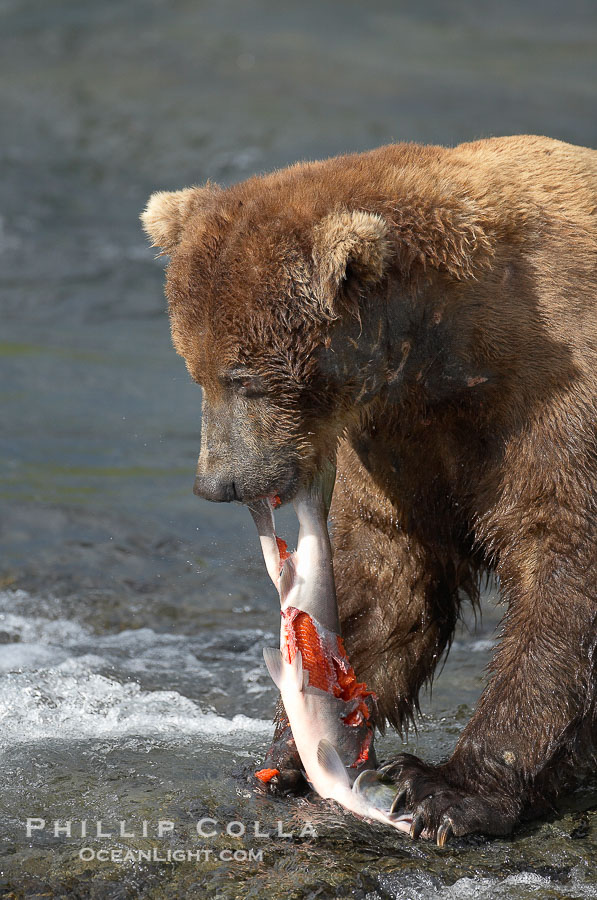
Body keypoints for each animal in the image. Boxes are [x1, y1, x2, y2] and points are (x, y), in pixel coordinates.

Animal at [142, 135, 597, 844]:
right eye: (196, 371)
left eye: (246, 379)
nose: (218, 481)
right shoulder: (399, 433)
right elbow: (389, 579)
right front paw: (289, 751)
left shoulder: (554, 397)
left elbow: (564, 567)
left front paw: (447, 790)